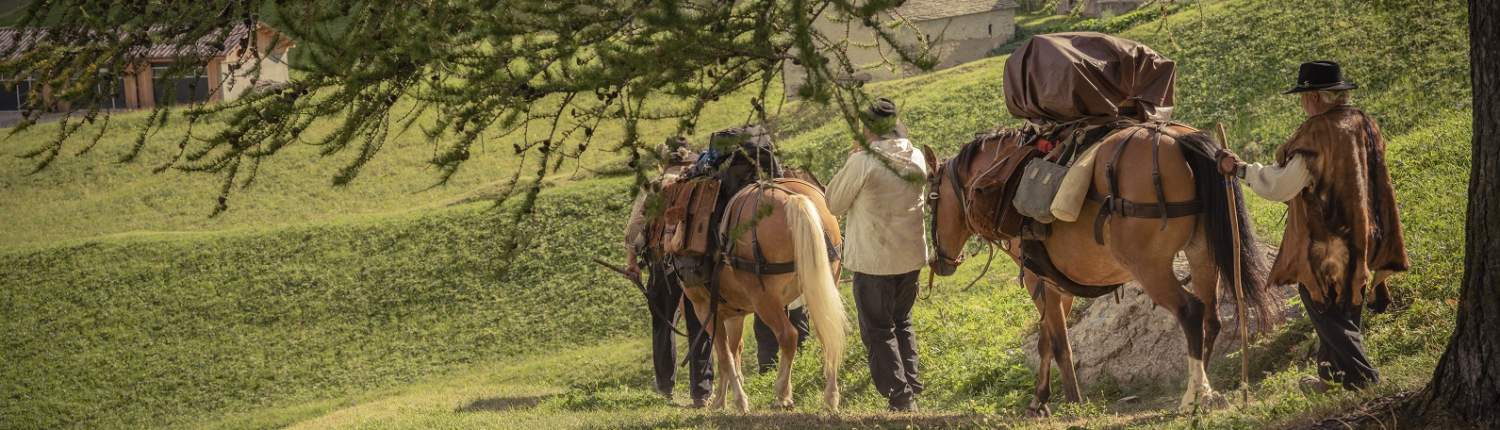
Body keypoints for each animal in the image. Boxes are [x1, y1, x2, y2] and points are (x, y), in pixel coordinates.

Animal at [681, 179, 846, 413]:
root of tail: (794, 198)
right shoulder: (733, 315)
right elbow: (733, 352)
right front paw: (724, 398)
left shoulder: (705, 309)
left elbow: (724, 355)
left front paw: (734, 401)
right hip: (822, 288)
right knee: (828, 334)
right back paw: (831, 397)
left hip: (764, 301)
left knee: (788, 336)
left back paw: (782, 393)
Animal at [924, 122, 1278, 416]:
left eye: (930, 200)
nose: (939, 261)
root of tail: (1178, 139)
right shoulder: (1057, 285)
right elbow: (1046, 338)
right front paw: (1040, 399)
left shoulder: (1039, 280)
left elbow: (1058, 342)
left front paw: (1071, 400)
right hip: (1201, 253)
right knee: (1211, 317)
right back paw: (1203, 387)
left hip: (1150, 267)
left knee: (1190, 311)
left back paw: (1194, 395)